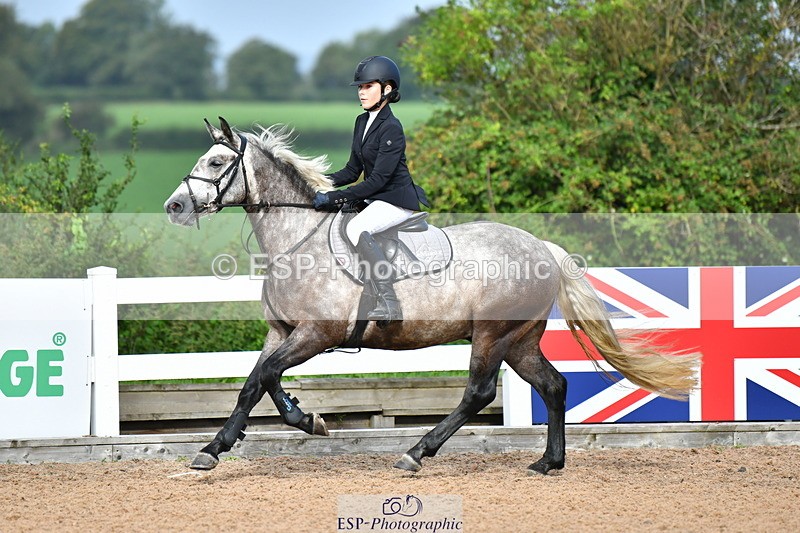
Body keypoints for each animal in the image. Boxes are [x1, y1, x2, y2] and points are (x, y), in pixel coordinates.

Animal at [163, 117, 700, 474]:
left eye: (217, 161)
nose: (174, 207)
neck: (299, 238)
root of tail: (541, 246)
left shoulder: (318, 333)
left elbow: (267, 376)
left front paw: (300, 420)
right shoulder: (283, 332)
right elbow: (256, 382)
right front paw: (220, 446)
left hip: (491, 335)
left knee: (479, 393)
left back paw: (417, 452)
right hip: (519, 340)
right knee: (553, 386)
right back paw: (549, 462)